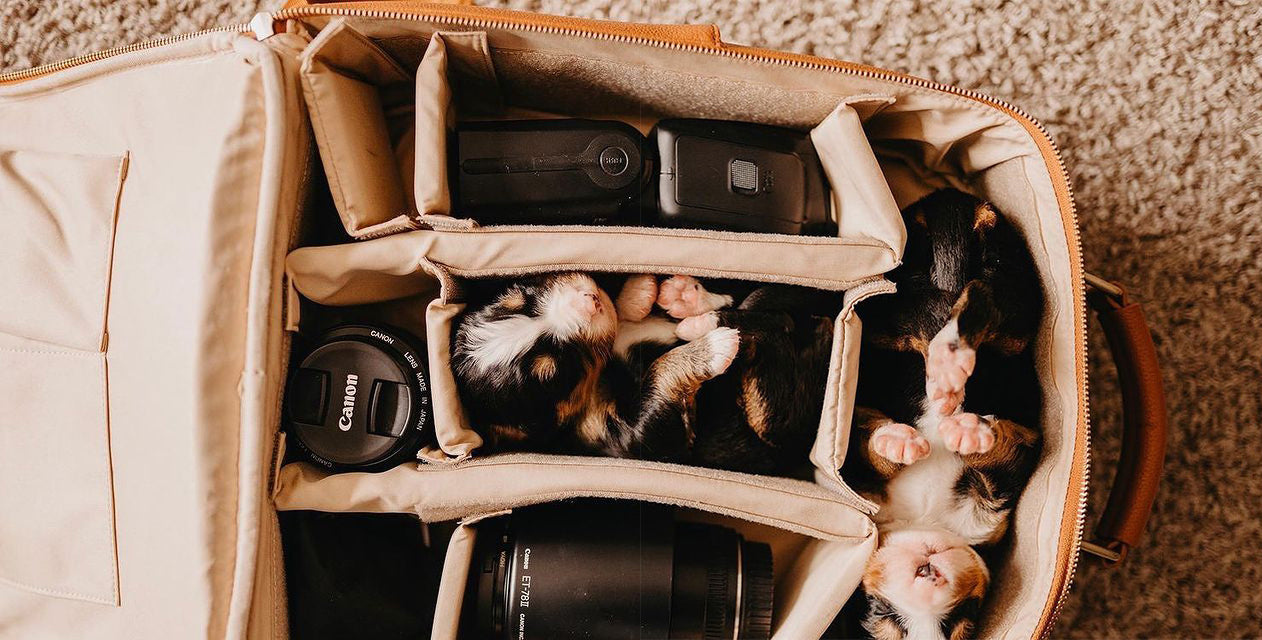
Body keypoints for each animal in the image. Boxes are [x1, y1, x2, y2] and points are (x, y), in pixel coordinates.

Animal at [837, 188, 1044, 638]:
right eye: (884, 613)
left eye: (956, 621)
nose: (928, 573)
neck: (928, 517)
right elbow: (869, 447)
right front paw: (899, 441)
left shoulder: (998, 503)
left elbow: (1002, 455)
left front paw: (970, 433)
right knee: (965, 301)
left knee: (965, 302)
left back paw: (950, 365)